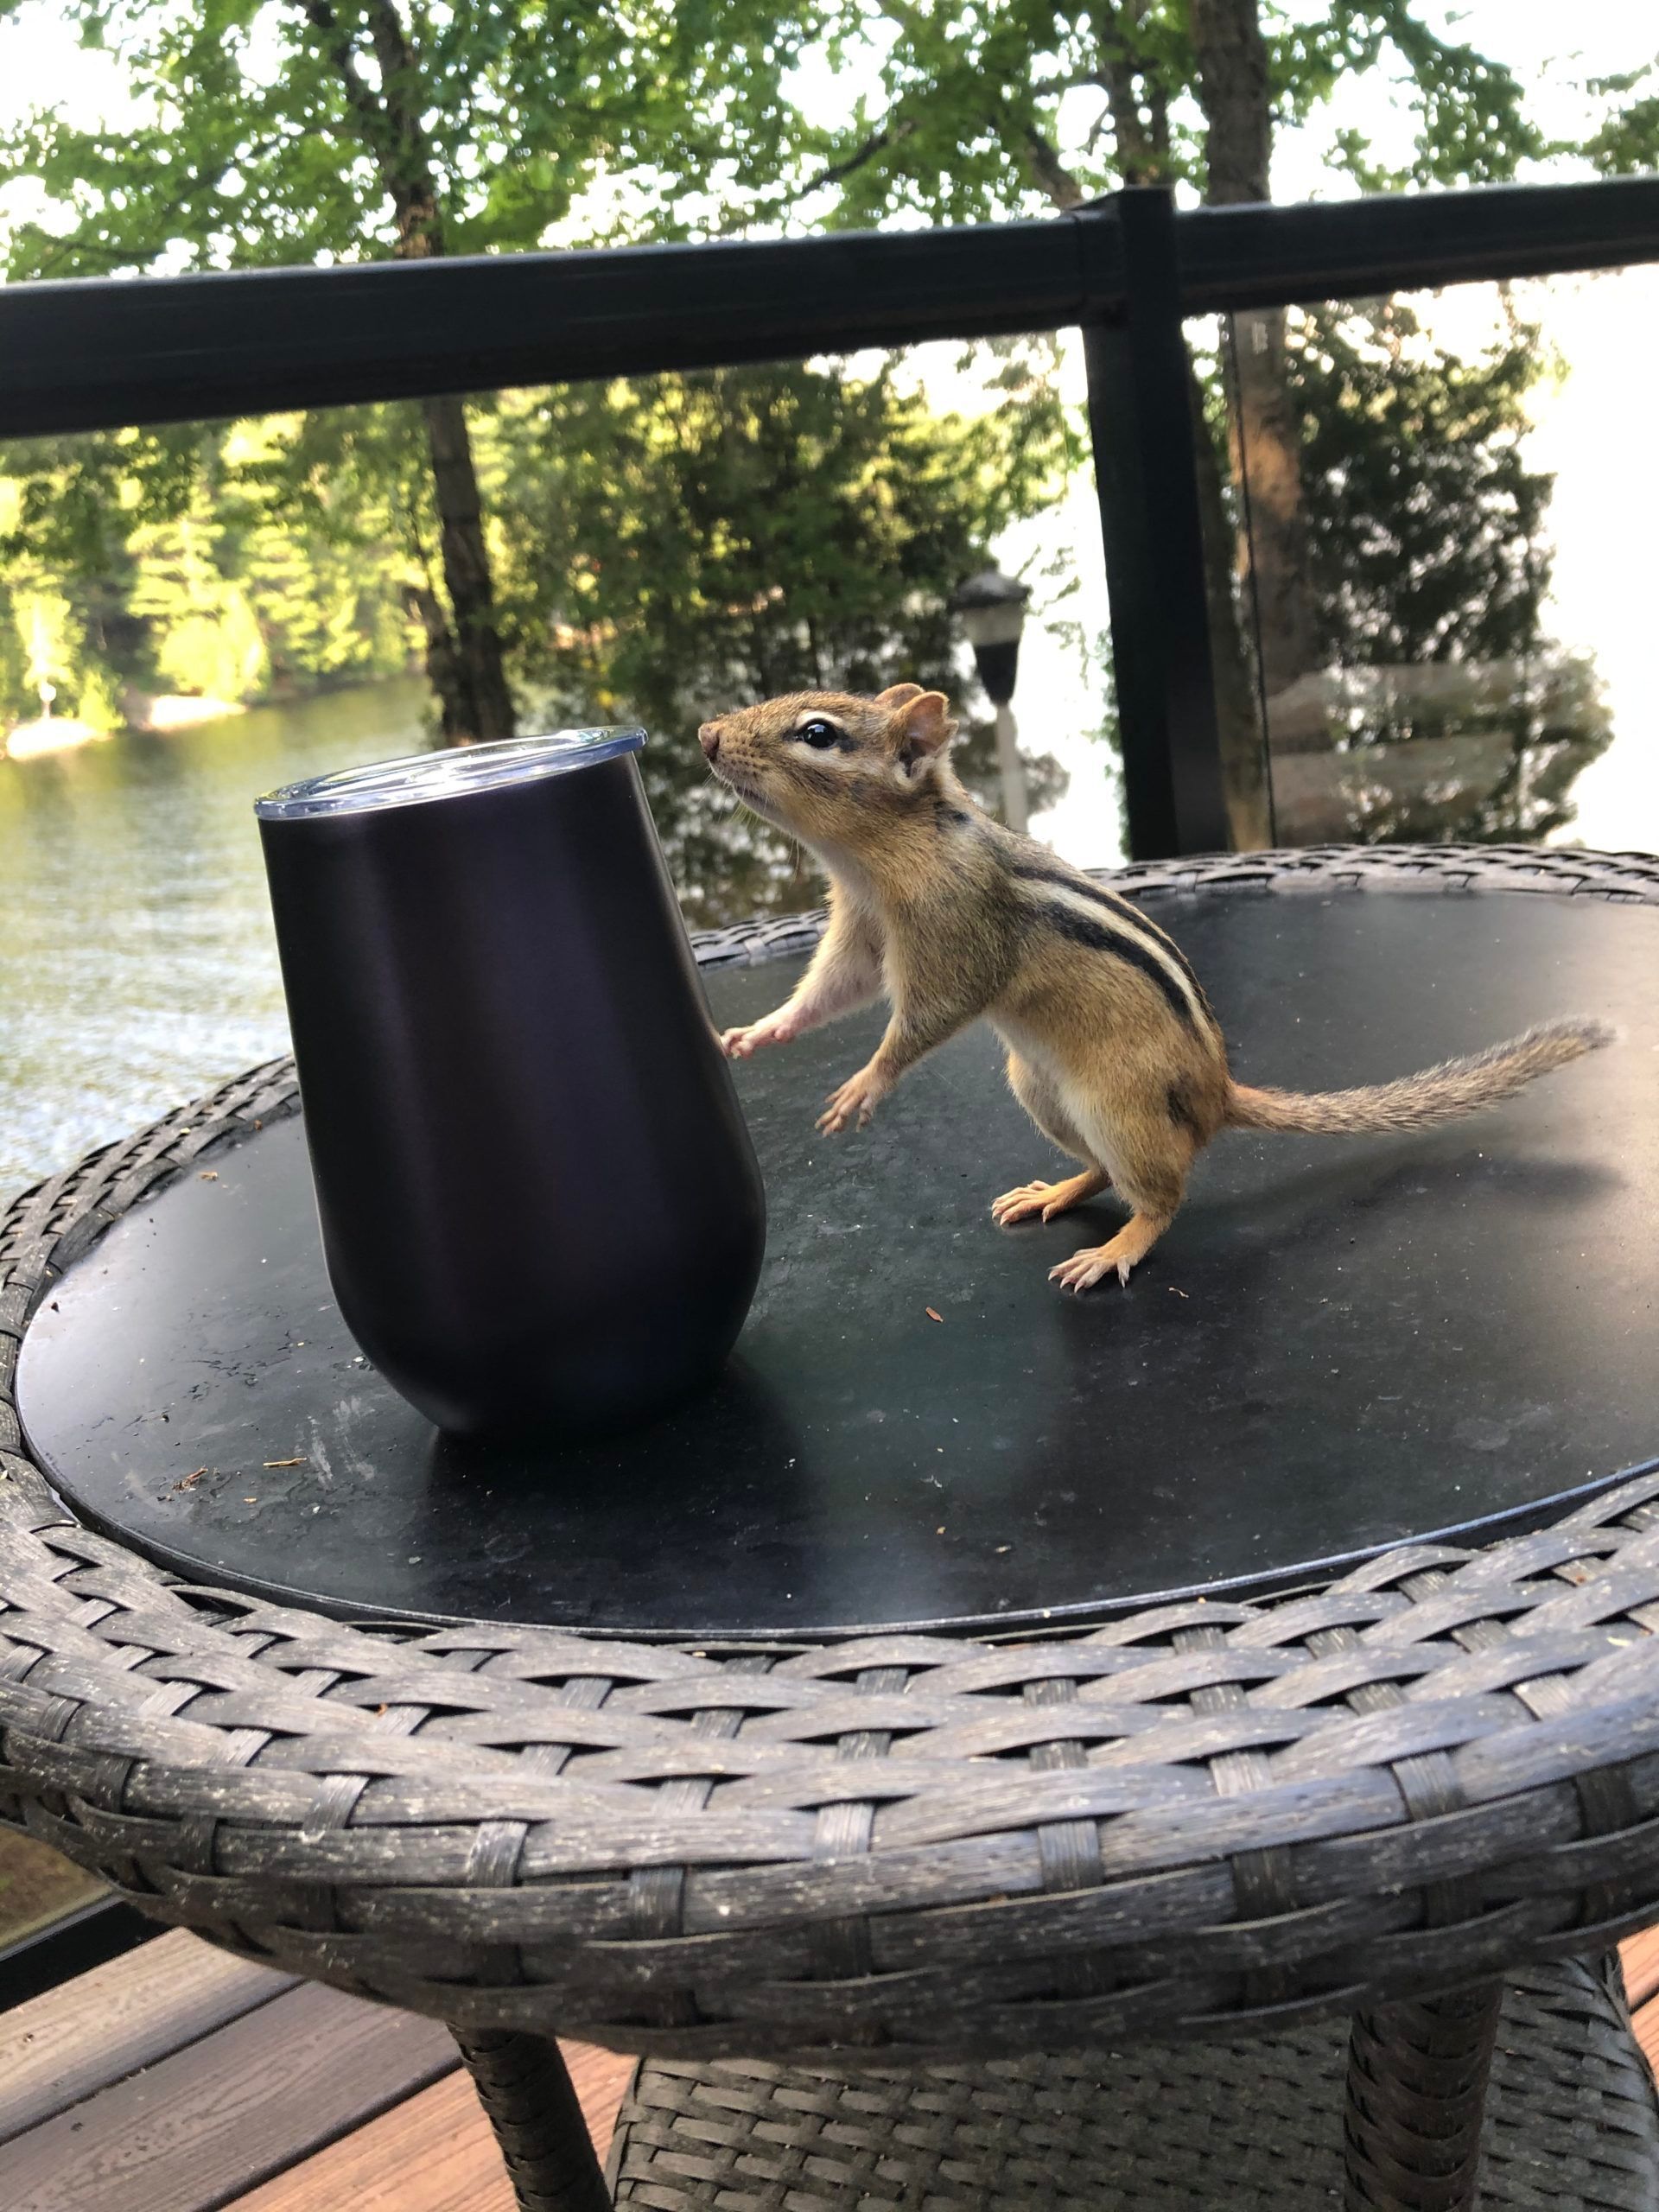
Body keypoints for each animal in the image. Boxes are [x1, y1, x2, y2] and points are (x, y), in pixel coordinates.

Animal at [697, 684, 1615, 1293]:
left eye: (817, 733)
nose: (705, 734)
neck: (880, 855)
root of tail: (1217, 1093)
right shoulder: (860, 929)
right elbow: (831, 991)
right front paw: (757, 1033)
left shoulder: (958, 940)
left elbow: (925, 1017)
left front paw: (865, 1085)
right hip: (1041, 1090)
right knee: (1105, 1174)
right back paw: (1055, 1191)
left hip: (1116, 1101)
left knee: (1163, 1195)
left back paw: (1116, 1249)